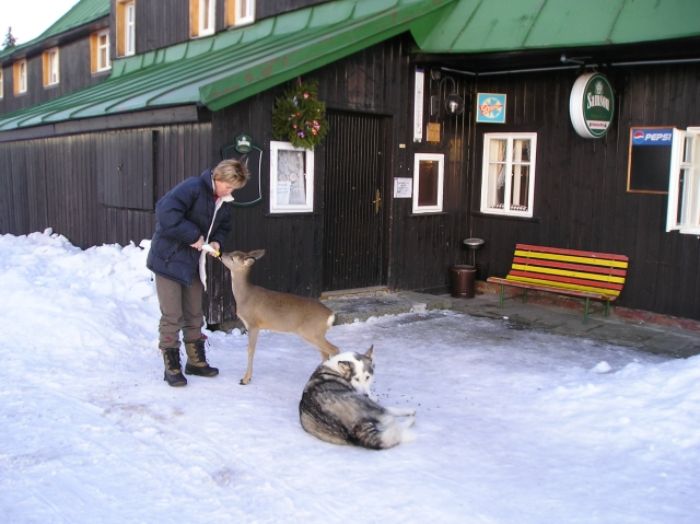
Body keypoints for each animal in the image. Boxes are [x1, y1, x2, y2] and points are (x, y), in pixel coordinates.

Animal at [219, 250, 340, 384]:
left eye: (232, 258)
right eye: (232, 252)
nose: (221, 254)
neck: (245, 297)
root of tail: (330, 314)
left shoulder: (253, 324)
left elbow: (250, 350)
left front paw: (245, 379)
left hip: (311, 332)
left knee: (334, 349)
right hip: (316, 334)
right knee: (325, 354)